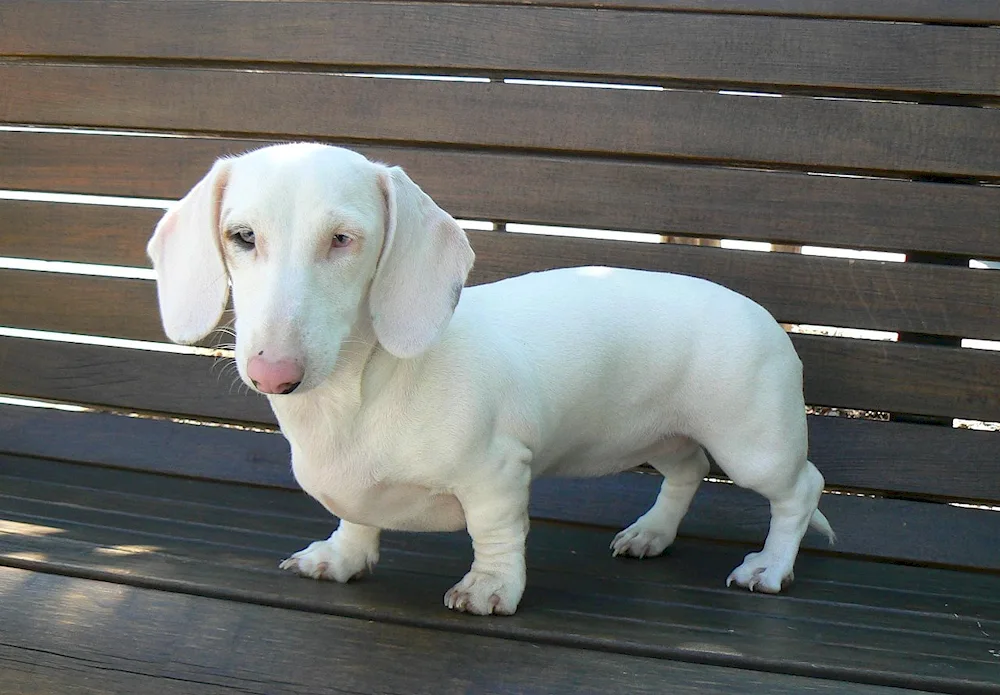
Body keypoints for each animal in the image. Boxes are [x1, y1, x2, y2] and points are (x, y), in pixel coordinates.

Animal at [148, 141, 832, 616]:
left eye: (343, 239)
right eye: (242, 236)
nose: (274, 373)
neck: (362, 391)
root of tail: (765, 317)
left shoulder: (498, 472)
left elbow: (495, 533)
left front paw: (489, 588)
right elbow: (357, 522)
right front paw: (340, 558)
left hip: (753, 444)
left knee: (800, 490)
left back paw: (770, 567)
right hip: (661, 437)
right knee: (687, 472)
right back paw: (651, 533)